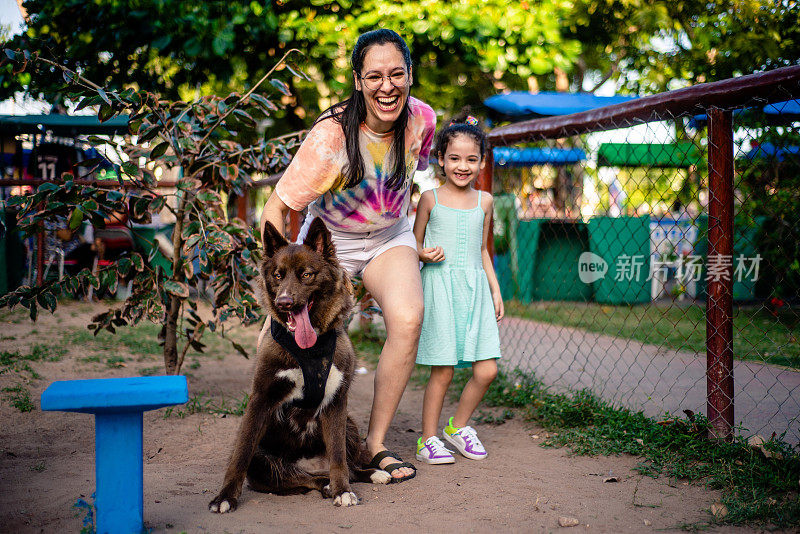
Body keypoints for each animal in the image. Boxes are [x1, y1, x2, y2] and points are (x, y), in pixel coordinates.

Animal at [208, 219, 392, 516]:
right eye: (278, 276)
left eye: (306, 275)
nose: (284, 302)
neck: (308, 349)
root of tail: (309, 463)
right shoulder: (260, 400)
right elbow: (240, 455)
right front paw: (224, 497)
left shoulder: (337, 404)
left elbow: (338, 458)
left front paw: (343, 492)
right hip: (265, 462)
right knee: (306, 478)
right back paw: (327, 484)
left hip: (350, 425)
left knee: (348, 467)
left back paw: (367, 475)